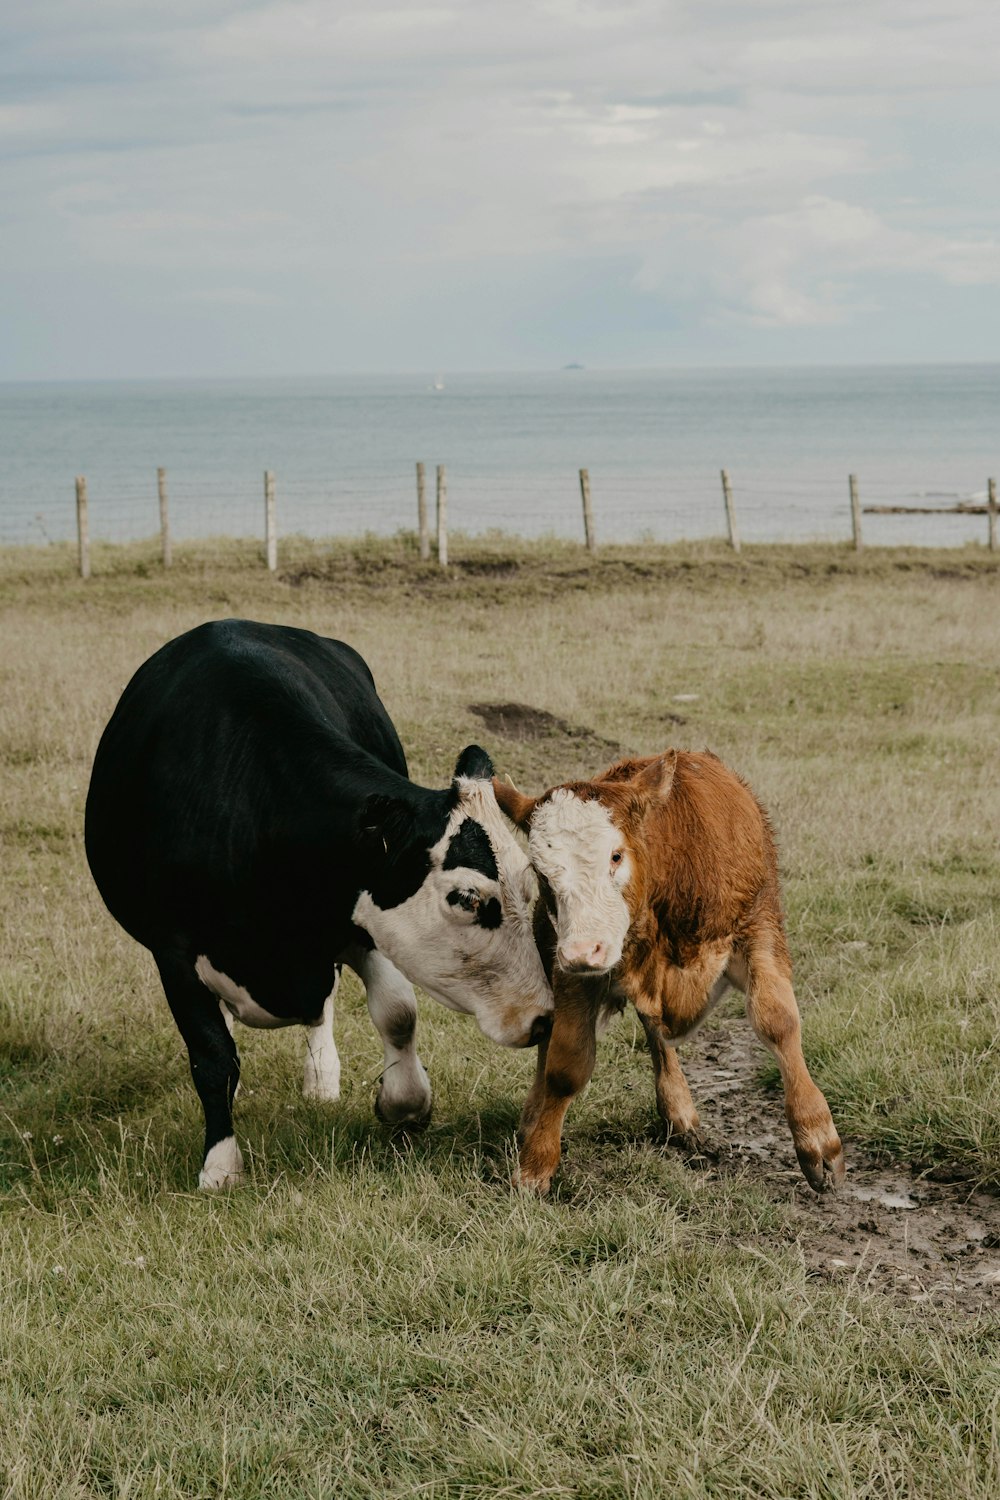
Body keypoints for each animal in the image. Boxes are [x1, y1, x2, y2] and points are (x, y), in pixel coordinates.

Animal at [83, 618, 554, 1182]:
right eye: (465, 898)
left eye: (529, 887)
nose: (545, 1018)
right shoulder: (172, 950)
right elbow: (212, 1054)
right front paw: (220, 1164)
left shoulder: (358, 920)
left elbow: (397, 1013)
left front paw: (403, 1103)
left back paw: (321, 1076)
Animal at [494, 750, 845, 1194]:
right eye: (542, 873)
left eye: (616, 855)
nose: (582, 951)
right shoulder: (572, 966)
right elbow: (565, 1063)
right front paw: (536, 1163)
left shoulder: (759, 928)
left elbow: (778, 1021)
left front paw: (818, 1139)